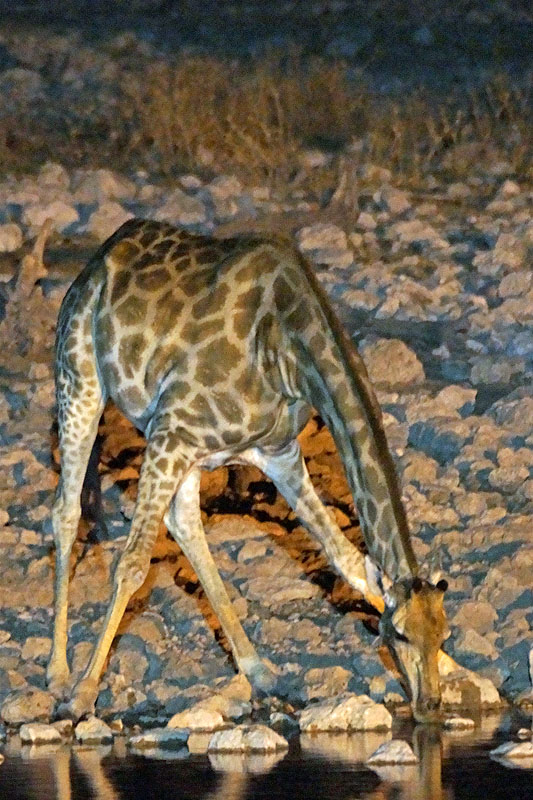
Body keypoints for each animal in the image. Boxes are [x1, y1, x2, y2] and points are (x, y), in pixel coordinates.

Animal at [47, 219, 450, 724]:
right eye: (397, 633)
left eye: (443, 633)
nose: (430, 704)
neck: (288, 352)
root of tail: (101, 254)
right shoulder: (171, 431)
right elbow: (133, 564)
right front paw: (84, 694)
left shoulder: (276, 452)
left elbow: (348, 559)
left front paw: (462, 673)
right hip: (81, 382)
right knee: (66, 512)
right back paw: (60, 674)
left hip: (184, 452)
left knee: (185, 525)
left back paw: (260, 671)